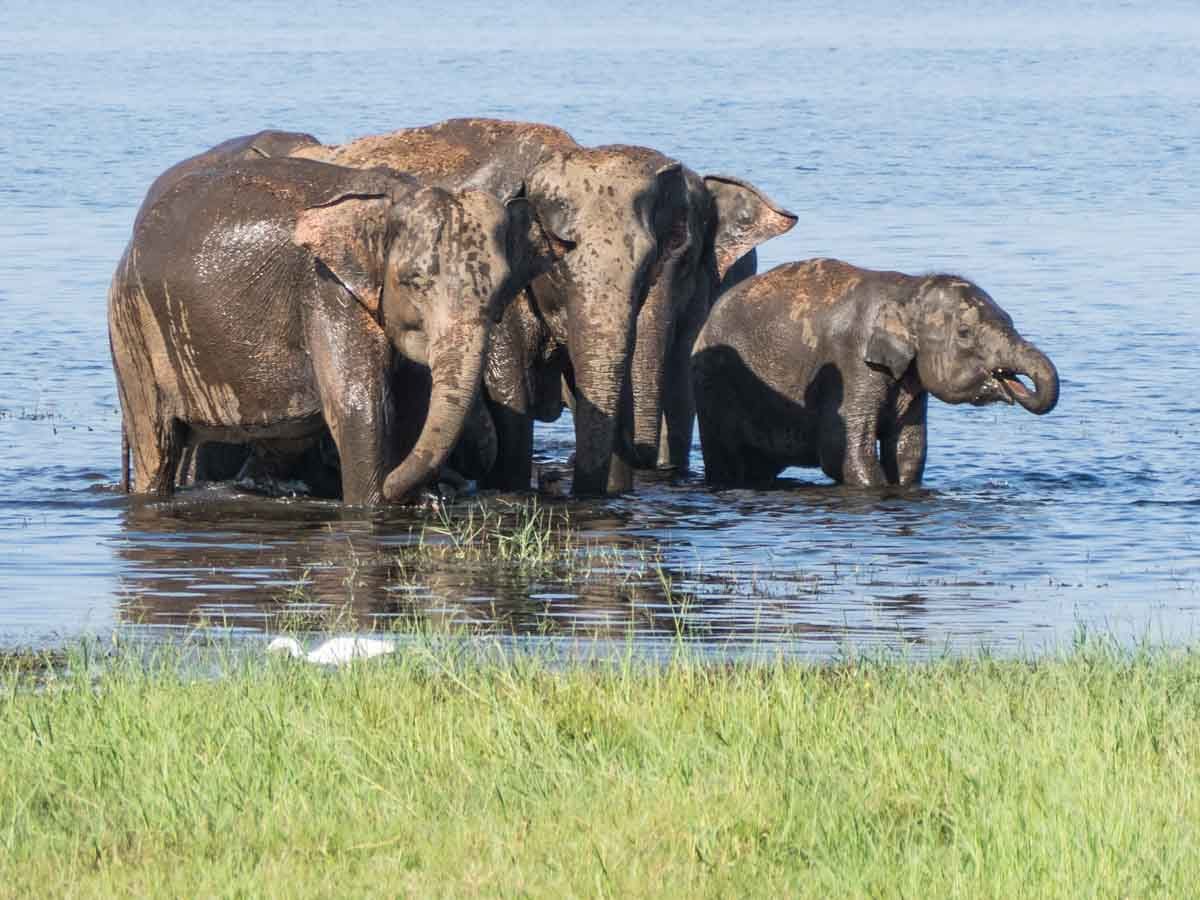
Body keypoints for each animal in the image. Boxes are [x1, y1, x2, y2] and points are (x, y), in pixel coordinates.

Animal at [109, 156, 565, 505]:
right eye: (414, 281)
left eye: (503, 290)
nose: (441, 491)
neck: (388, 204)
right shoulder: (326, 289)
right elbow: (361, 407)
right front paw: (373, 503)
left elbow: (410, 406)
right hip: (131, 326)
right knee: (157, 446)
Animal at [692, 259, 1060, 487]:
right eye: (965, 333)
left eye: (1009, 319)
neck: (908, 290)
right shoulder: (853, 364)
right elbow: (842, 450)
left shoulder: (911, 379)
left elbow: (909, 449)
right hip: (713, 387)